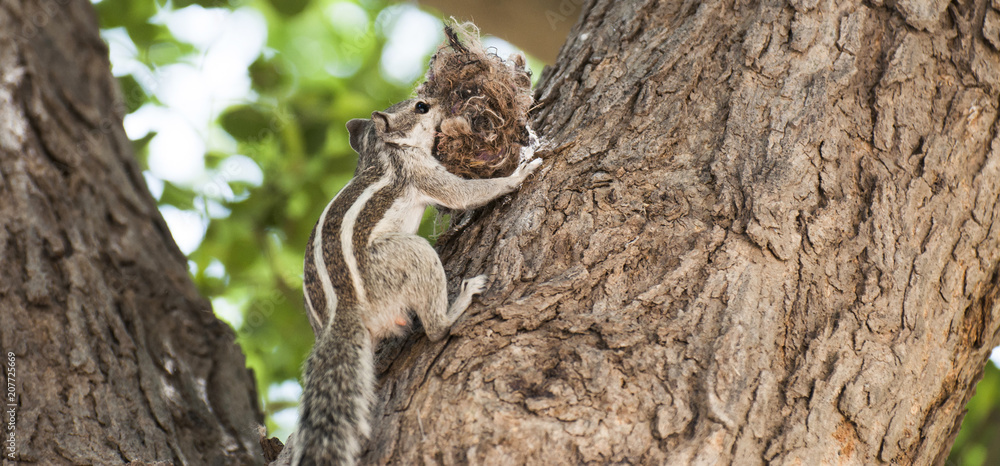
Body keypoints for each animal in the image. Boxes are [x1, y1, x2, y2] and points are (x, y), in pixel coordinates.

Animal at [290, 96, 540, 464]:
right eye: (422, 107)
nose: (443, 104)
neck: (381, 151)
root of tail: (344, 314)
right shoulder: (419, 171)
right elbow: (462, 193)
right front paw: (519, 173)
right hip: (408, 256)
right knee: (436, 328)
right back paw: (461, 301)